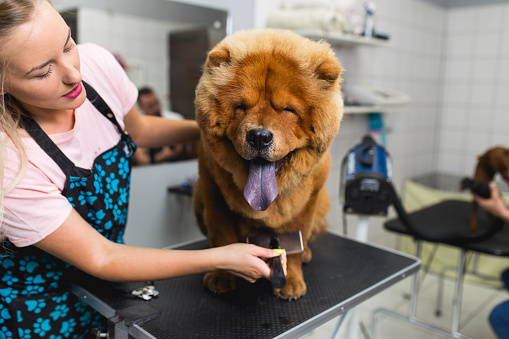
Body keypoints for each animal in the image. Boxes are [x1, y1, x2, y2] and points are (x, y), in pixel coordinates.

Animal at [192, 29, 344, 300]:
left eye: (288, 110)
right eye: (241, 106)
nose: (259, 136)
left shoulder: (306, 205)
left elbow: (294, 245)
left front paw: (291, 281)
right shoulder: (213, 194)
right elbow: (222, 237)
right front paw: (222, 275)